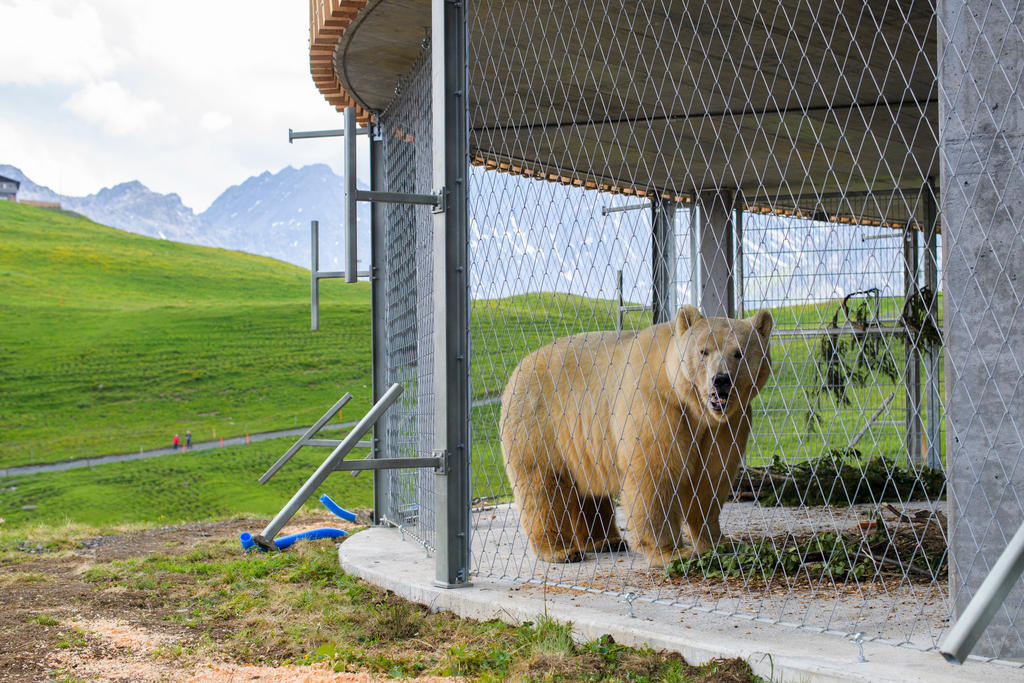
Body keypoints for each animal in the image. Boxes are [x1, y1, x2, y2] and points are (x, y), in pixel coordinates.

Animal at [499, 305, 773, 568]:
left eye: (739, 353)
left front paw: (719, 541)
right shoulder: (655, 405)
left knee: (589, 491)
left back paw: (606, 541)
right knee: (543, 485)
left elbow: (710, 477)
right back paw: (560, 549)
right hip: (539, 421)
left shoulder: (727, 424)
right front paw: (672, 552)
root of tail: (517, 369)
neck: (692, 404)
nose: (721, 380)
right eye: (703, 351)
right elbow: (655, 472)